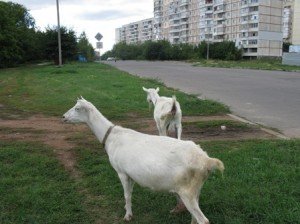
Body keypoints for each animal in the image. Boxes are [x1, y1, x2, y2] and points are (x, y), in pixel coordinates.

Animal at [62, 97, 223, 224]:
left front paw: (127, 216)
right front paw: (127, 209)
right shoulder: (131, 174)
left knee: (203, 220)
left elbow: (126, 195)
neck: (112, 136)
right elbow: (130, 193)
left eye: (77, 108)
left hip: (186, 191)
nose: (63, 117)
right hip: (196, 189)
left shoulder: (121, 172)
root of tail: (206, 160)